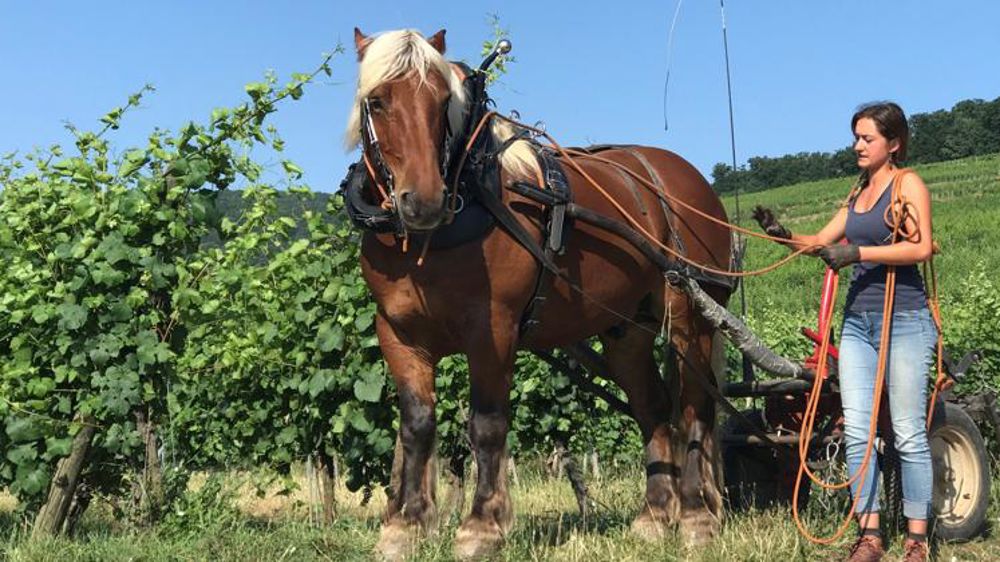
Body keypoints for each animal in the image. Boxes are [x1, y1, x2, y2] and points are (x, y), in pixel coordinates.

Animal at [346, 27, 734, 560]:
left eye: (443, 100)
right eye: (377, 100)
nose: (423, 202)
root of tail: (687, 179)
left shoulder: (492, 330)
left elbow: (486, 425)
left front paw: (481, 527)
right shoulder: (399, 334)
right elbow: (417, 425)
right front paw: (405, 527)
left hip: (689, 317)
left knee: (695, 409)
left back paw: (696, 516)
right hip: (627, 331)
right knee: (653, 408)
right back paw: (655, 515)